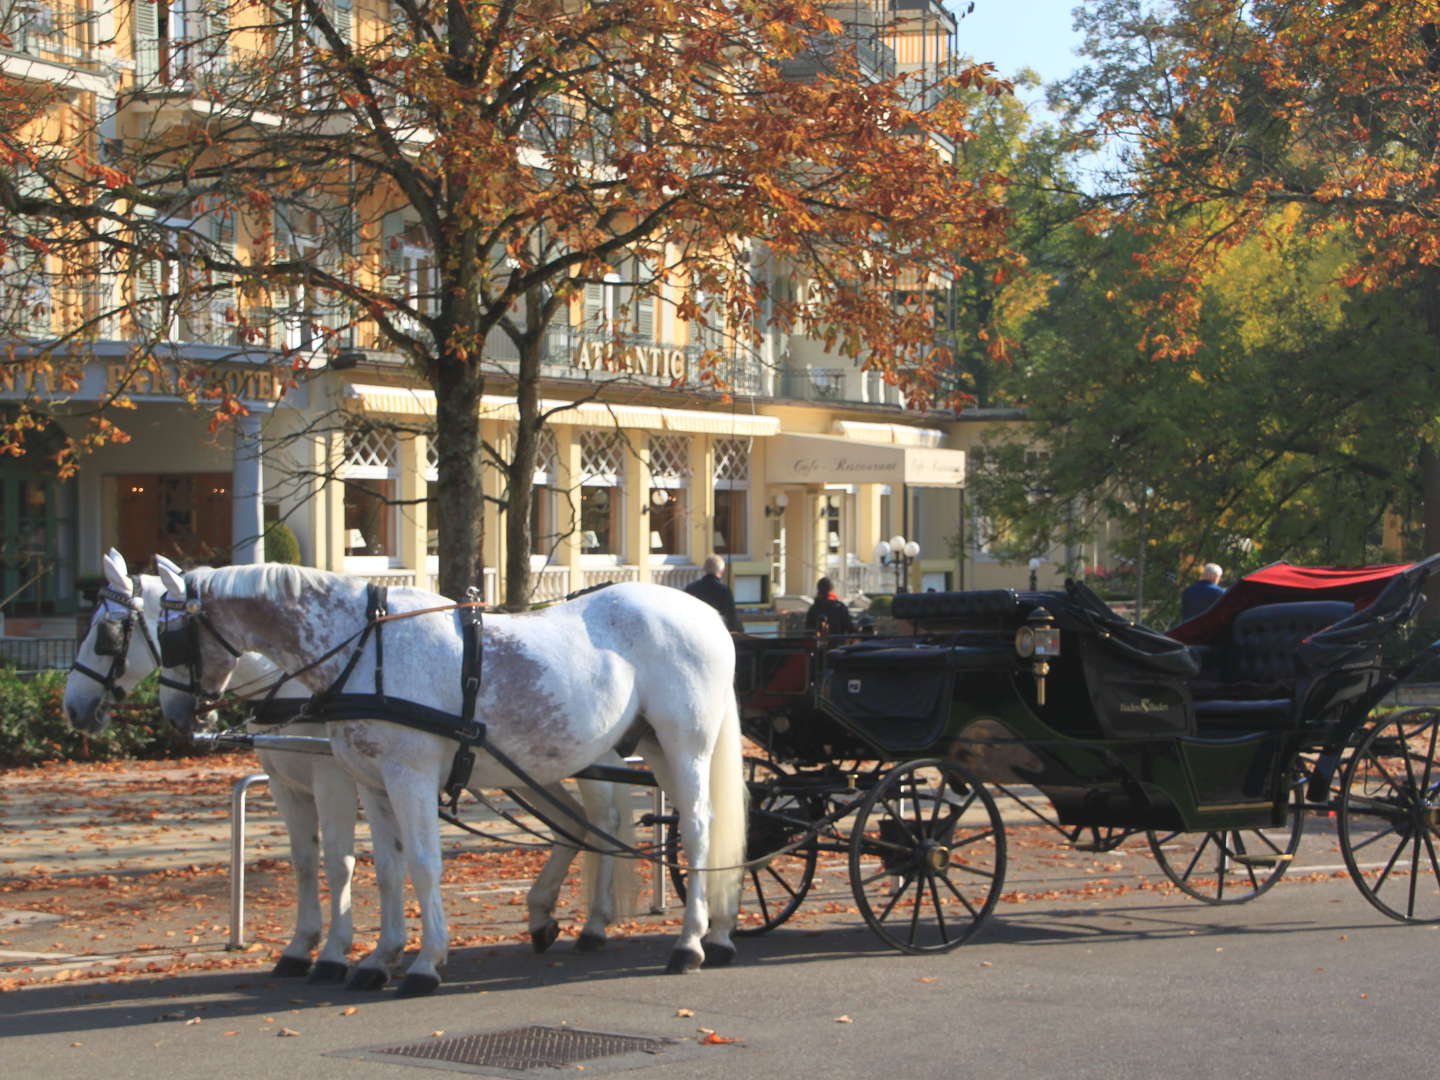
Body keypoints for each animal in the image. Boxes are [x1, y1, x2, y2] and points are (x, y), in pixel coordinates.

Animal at [61, 552, 636, 984]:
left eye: (107, 634)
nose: (73, 708)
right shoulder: (287, 783)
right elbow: (307, 861)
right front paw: (303, 947)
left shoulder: (335, 778)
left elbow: (340, 861)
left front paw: (336, 954)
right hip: (533, 766)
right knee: (569, 824)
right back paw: (547, 915)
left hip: (582, 758)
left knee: (599, 818)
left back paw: (595, 922)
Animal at [153, 567, 748, 996]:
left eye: (171, 637)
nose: (175, 715)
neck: (362, 651)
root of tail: (705, 614)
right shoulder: (373, 783)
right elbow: (386, 870)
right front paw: (379, 957)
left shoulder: (408, 777)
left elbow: (421, 865)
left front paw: (424, 961)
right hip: (650, 746)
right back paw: (717, 931)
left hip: (687, 743)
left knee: (696, 829)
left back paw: (689, 943)